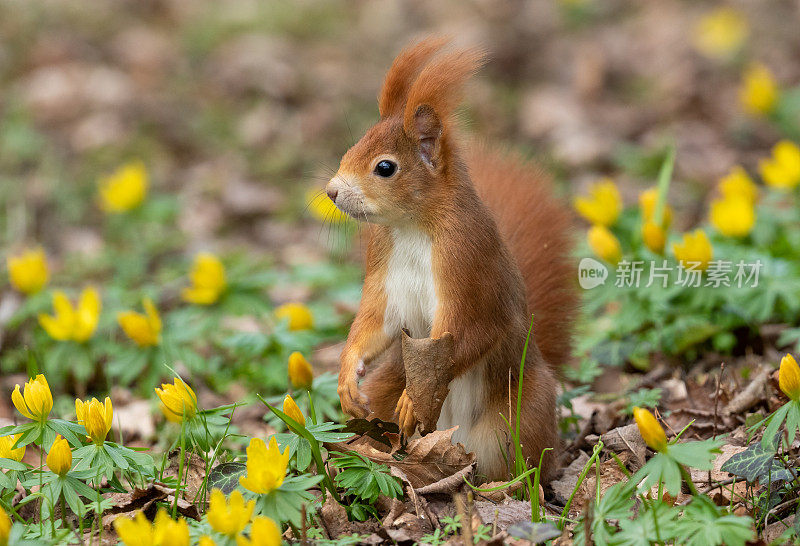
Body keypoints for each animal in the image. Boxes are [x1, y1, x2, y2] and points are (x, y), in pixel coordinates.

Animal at [324, 38, 576, 478]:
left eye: (385, 167)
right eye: (350, 148)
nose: (331, 191)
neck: (412, 225)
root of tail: (455, 445)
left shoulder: (468, 262)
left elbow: (472, 332)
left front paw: (415, 399)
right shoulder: (384, 271)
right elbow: (373, 323)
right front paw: (346, 378)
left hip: (519, 415)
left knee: (523, 468)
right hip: (387, 389)